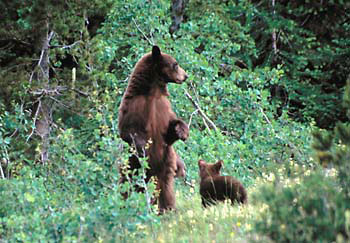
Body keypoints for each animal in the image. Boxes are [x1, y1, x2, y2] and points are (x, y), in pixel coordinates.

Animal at [118, 45, 190, 213]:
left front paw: (182, 131)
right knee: (127, 183)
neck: (154, 92)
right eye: (175, 64)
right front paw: (143, 148)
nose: (185, 76)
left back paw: (167, 209)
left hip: (166, 162)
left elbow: (171, 128)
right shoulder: (133, 107)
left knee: (165, 187)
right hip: (132, 165)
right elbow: (128, 131)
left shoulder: (164, 108)